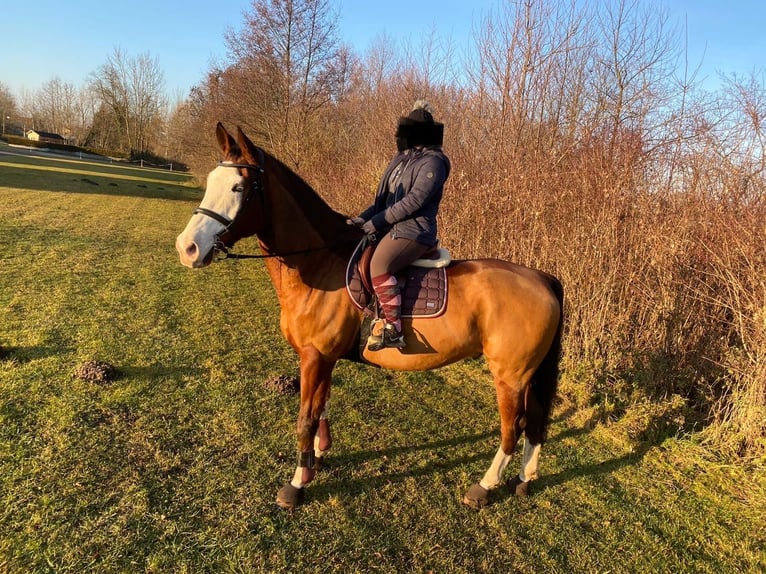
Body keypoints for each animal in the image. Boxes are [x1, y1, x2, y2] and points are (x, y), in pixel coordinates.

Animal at [177, 124, 568, 510]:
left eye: (239, 187)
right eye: (212, 181)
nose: (187, 248)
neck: (321, 264)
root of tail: (542, 278)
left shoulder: (314, 357)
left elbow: (306, 418)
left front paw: (296, 485)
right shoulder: (325, 359)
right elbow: (322, 407)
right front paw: (316, 460)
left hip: (510, 376)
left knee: (513, 427)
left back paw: (484, 486)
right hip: (526, 375)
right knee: (535, 423)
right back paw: (524, 479)